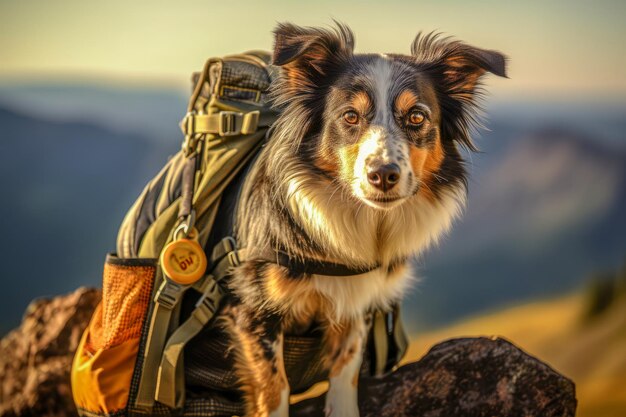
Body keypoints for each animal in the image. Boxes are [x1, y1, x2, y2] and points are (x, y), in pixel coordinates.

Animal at [222, 22, 504, 416]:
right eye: (350, 117)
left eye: (417, 117)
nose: (383, 175)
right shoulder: (252, 310)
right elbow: (274, 388)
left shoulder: (356, 304)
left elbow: (347, 369)